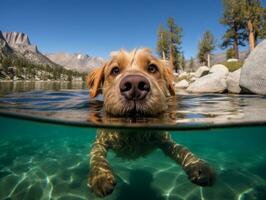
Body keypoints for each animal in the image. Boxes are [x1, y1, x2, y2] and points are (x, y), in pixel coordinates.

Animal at [86, 48, 215, 197]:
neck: (133, 132)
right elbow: (96, 156)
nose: (134, 85)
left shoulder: (165, 139)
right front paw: (100, 176)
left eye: (152, 68)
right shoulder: (101, 140)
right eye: (115, 70)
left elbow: (181, 150)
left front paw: (198, 166)